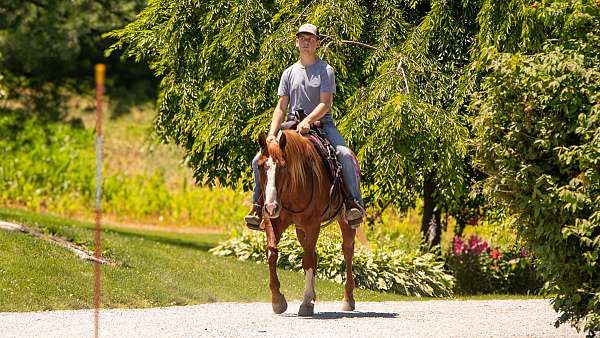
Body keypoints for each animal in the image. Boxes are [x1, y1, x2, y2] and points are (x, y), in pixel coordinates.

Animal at [255, 130, 354, 316]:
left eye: (283, 166)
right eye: (260, 166)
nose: (271, 206)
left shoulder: (312, 224)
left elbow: (307, 261)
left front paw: (306, 302)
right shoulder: (273, 221)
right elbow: (272, 254)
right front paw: (277, 300)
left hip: (346, 222)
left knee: (347, 251)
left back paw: (348, 299)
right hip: (300, 230)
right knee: (314, 254)